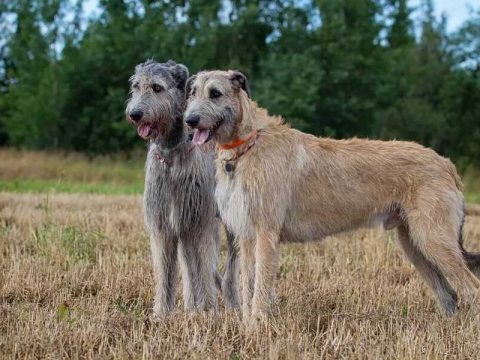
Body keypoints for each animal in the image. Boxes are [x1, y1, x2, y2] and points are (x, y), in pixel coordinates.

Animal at [125, 60, 240, 316]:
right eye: (136, 87)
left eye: (157, 87)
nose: (135, 114)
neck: (171, 155)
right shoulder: (164, 225)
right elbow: (165, 272)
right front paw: (161, 314)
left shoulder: (200, 224)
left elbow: (204, 268)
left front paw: (208, 312)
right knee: (189, 267)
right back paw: (191, 306)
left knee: (230, 266)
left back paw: (233, 302)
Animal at [184, 69, 480, 322]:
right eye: (192, 93)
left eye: (215, 93)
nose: (189, 121)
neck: (248, 143)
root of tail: (447, 164)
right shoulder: (247, 235)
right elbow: (247, 285)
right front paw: (246, 326)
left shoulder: (266, 233)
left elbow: (261, 286)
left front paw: (257, 326)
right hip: (414, 243)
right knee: (449, 293)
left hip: (433, 238)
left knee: (471, 287)